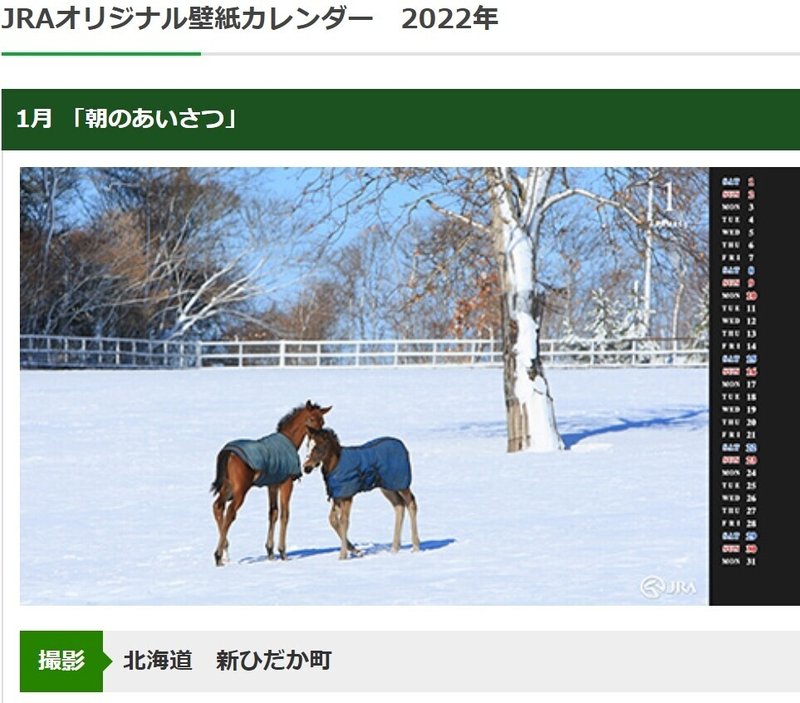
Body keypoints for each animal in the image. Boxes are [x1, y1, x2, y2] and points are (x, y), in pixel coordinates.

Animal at [211, 400, 331, 566]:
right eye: (311, 419)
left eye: (323, 421)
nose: (318, 438)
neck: (290, 441)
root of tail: (227, 452)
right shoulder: (287, 483)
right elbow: (285, 514)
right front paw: (282, 552)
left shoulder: (272, 485)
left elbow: (273, 513)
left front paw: (270, 551)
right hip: (240, 490)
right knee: (230, 513)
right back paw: (218, 554)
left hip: (227, 487)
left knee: (217, 507)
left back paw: (224, 553)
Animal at [302, 426, 420, 560]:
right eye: (308, 445)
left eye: (318, 447)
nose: (306, 468)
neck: (335, 465)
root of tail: (403, 446)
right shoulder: (337, 496)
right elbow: (333, 520)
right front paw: (357, 551)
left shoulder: (347, 495)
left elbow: (344, 521)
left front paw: (343, 555)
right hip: (387, 486)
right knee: (399, 505)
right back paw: (394, 548)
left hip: (401, 483)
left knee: (411, 503)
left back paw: (416, 546)